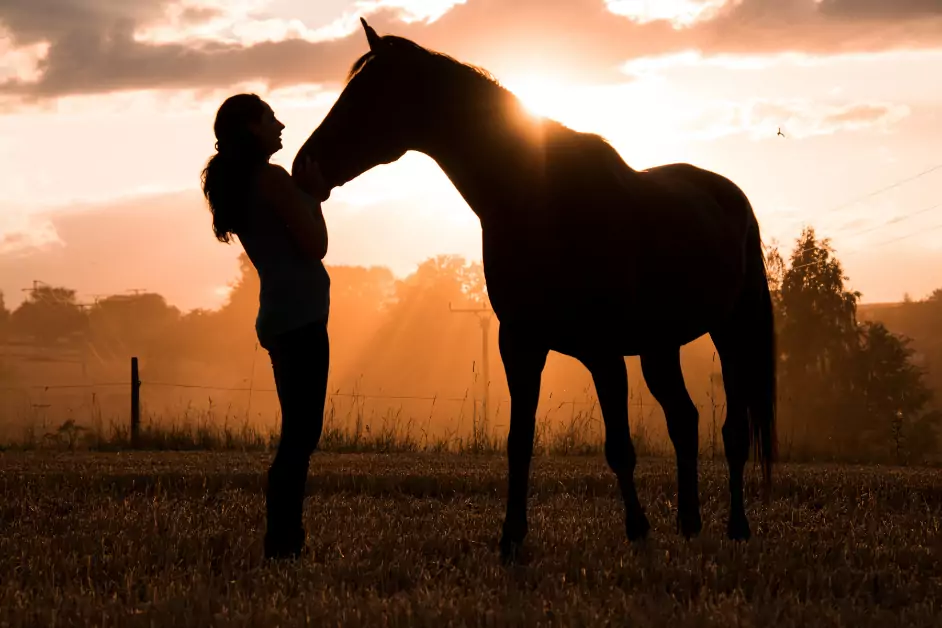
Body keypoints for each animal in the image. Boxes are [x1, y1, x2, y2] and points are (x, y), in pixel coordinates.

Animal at [294, 19, 776, 560]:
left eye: (366, 95)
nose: (303, 166)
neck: (539, 200)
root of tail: (730, 196)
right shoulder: (520, 344)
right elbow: (518, 442)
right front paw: (511, 537)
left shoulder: (603, 351)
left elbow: (619, 447)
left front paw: (637, 529)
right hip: (660, 347)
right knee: (685, 421)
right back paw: (689, 522)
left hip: (732, 333)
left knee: (733, 431)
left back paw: (736, 525)